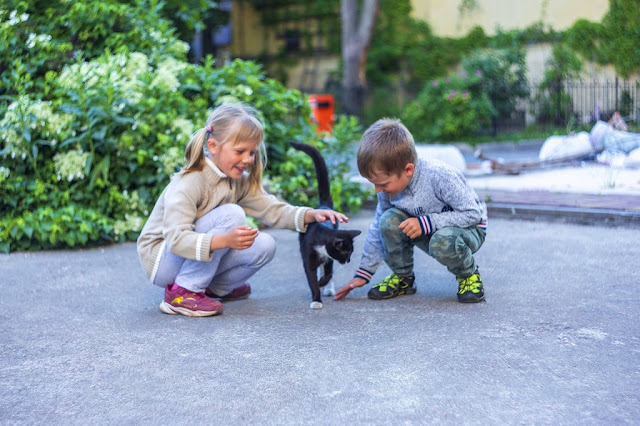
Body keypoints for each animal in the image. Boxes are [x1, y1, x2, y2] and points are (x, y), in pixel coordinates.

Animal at [290, 141, 360, 308]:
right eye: (347, 253)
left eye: (351, 253)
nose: (348, 261)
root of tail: (323, 207)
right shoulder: (308, 256)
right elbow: (311, 277)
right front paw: (316, 298)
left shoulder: (329, 258)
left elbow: (329, 273)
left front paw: (323, 283)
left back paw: (328, 288)